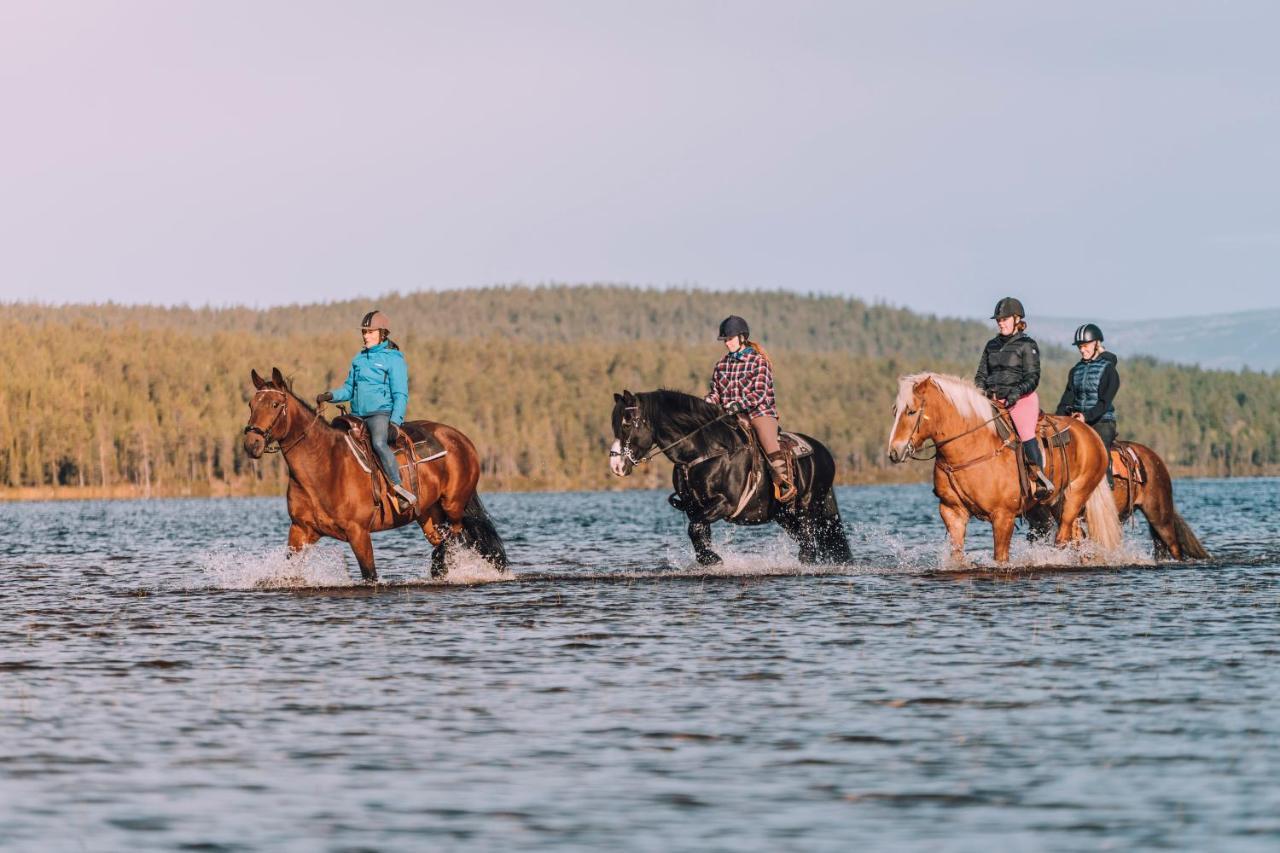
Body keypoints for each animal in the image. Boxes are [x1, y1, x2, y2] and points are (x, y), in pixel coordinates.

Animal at [240, 366, 504, 578]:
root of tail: (461, 439)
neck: (324, 465)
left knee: (456, 538)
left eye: (275, 404)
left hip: (453, 506)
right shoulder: (301, 530)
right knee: (445, 543)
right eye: (251, 405)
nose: (252, 444)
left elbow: (370, 575)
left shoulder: (359, 534)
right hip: (430, 516)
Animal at [606, 389, 849, 563]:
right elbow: (699, 532)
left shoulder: (725, 503)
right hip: (785, 516)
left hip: (807, 508)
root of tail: (824, 453)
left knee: (809, 544)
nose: (616, 465)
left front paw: (712, 559)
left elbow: (694, 528)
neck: (707, 451)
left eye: (627, 422)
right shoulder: (694, 507)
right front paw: (708, 559)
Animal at [890, 368, 1121, 560]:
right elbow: (957, 556)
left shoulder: (1003, 516)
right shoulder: (952, 512)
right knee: (1076, 537)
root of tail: (1091, 434)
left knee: (1063, 538)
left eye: (911, 411)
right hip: (1055, 502)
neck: (972, 446)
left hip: (1076, 496)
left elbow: (1000, 558)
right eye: (895, 411)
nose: (894, 451)